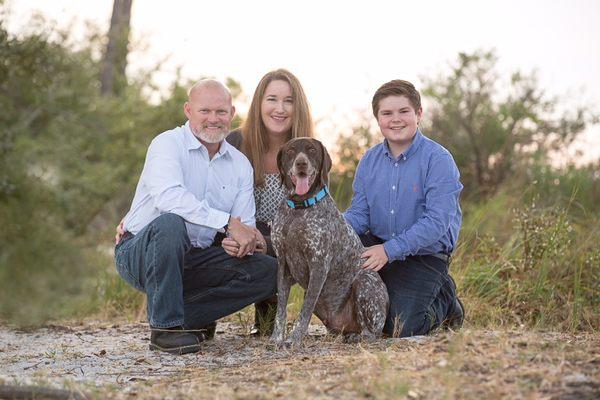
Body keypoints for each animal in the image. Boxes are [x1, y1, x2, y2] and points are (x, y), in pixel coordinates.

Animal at [270, 138, 390, 346]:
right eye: (291, 151)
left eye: (311, 149)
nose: (301, 163)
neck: (299, 209)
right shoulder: (283, 265)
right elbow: (281, 310)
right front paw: (276, 338)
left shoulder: (318, 266)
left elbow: (305, 310)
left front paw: (294, 339)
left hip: (364, 283)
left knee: (370, 333)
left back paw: (357, 336)